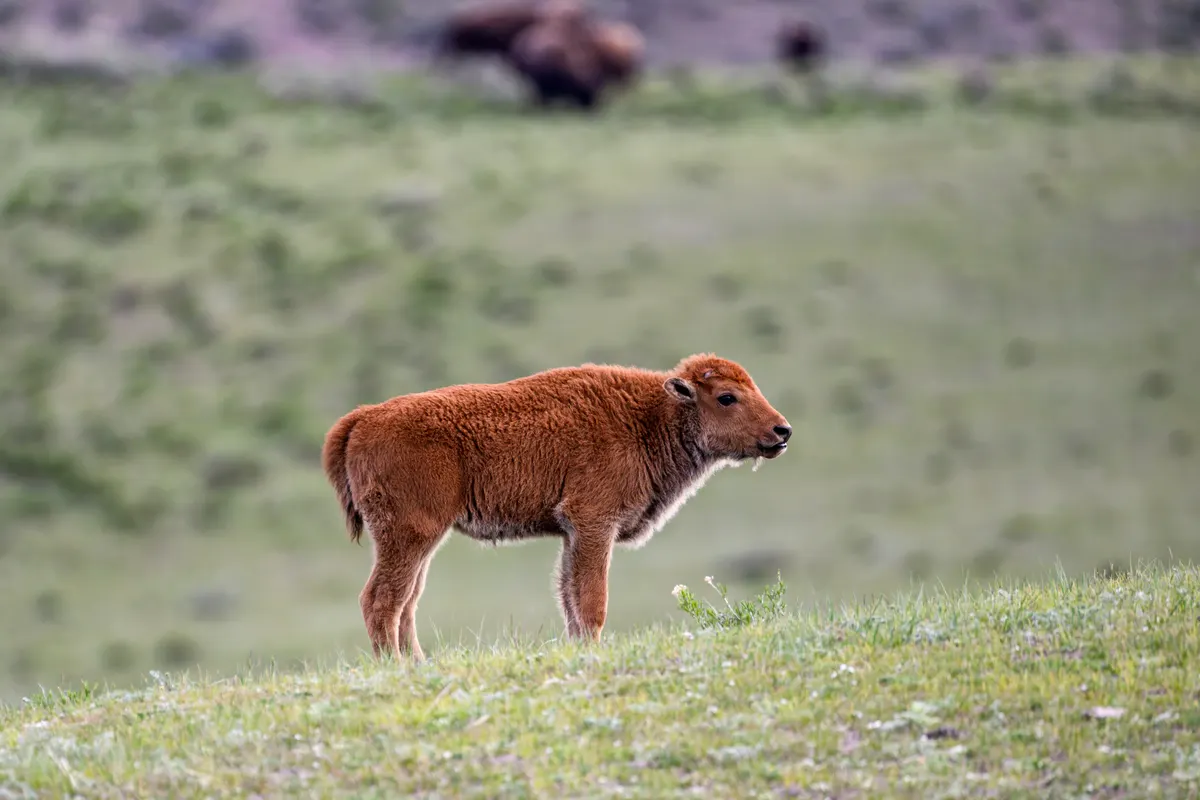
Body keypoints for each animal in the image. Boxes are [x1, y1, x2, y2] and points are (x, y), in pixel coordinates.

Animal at [321, 353, 792, 661]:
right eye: (727, 397)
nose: (781, 431)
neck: (650, 415)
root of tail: (364, 418)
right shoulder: (593, 524)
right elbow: (591, 600)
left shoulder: (572, 533)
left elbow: (570, 598)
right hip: (410, 534)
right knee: (382, 601)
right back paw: (397, 667)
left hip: (418, 541)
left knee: (407, 603)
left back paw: (419, 665)